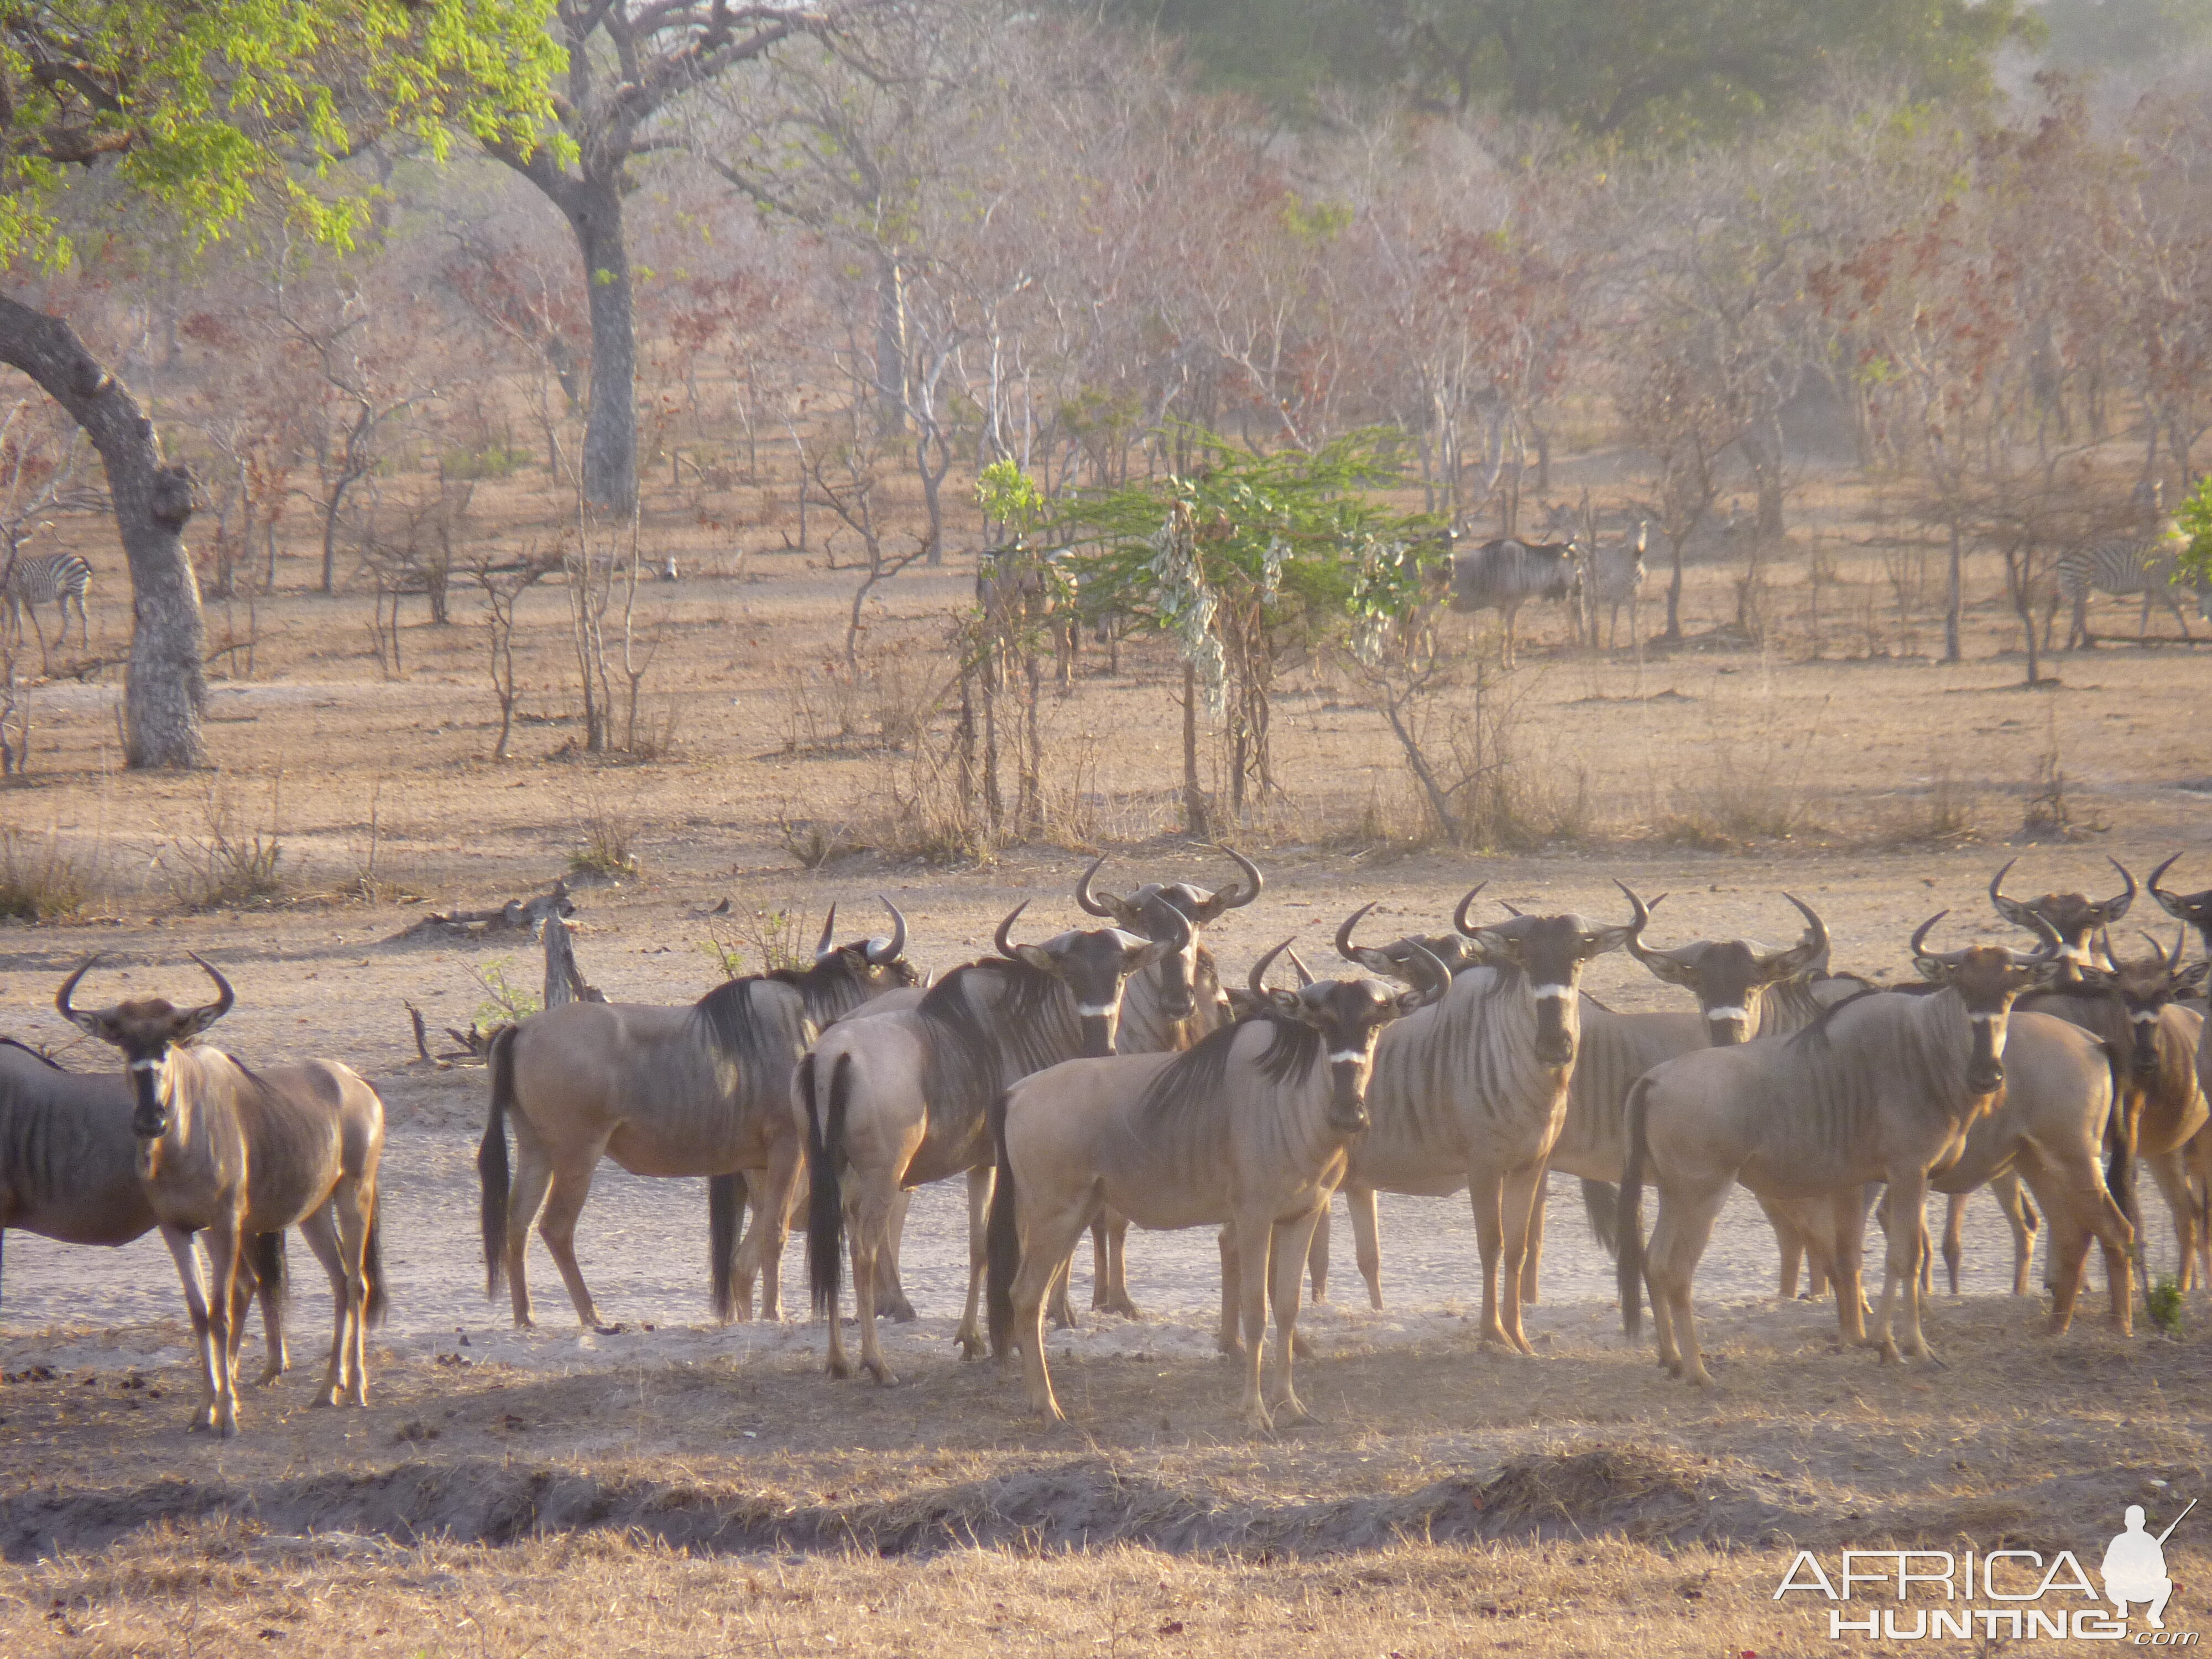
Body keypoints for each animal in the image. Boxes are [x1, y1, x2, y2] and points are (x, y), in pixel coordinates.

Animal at [0, 560, 92, 664]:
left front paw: (11, 645)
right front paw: (20, 642)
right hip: (64, 594)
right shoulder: (14, 596)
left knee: (84, 616)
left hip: (77, 588)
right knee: (68, 617)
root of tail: (79, 558)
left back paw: (85, 644)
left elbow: (14, 622)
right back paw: (59, 643)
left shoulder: (13, 594)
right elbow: (18, 619)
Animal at [2053, 480, 2194, 650]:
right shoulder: (2160, 584)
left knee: (2079, 611)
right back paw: (2084, 642)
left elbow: (2147, 612)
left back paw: (2079, 642)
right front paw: (2189, 639)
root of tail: (2063, 552)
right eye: (2144, 495)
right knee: (2079, 612)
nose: (2156, 509)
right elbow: (2177, 610)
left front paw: (2142, 639)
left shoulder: (2152, 586)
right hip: (2079, 582)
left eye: (2158, 494)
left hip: (2080, 585)